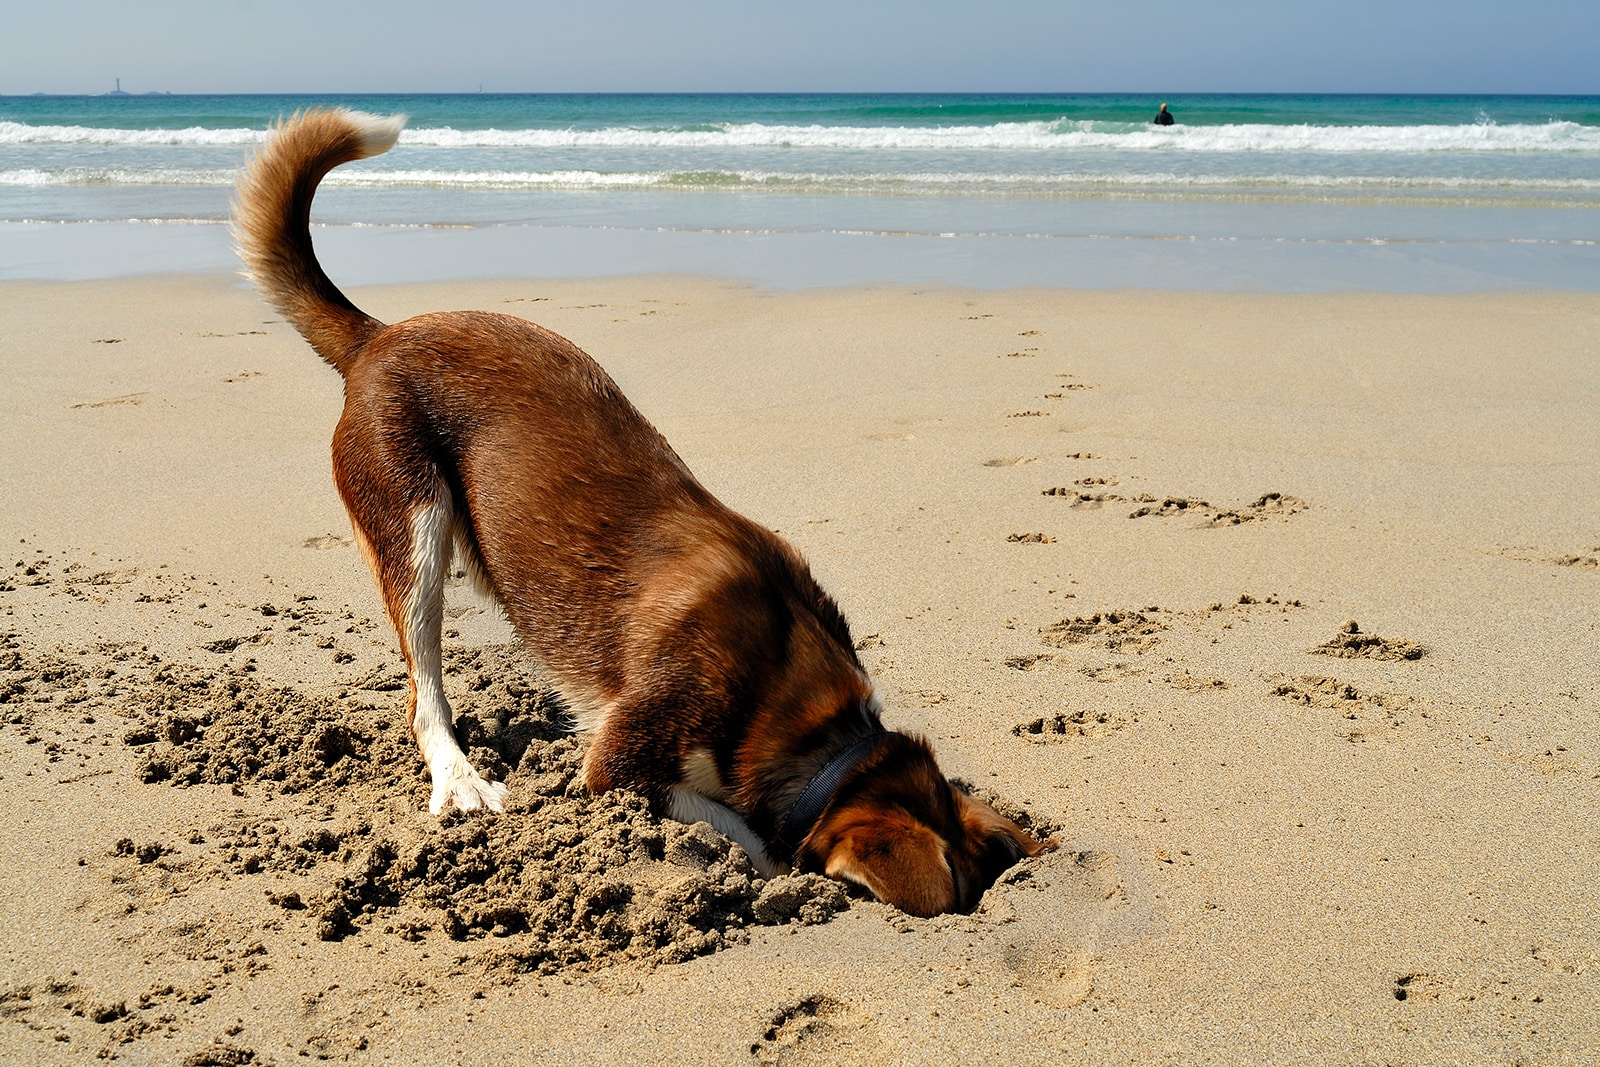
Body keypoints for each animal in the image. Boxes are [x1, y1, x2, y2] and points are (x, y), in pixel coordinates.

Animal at [228, 108, 1049, 921]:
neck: (806, 710)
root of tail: (379, 335)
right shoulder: (618, 762)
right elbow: (734, 824)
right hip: (415, 530)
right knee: (423, 691)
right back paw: (460, 779)